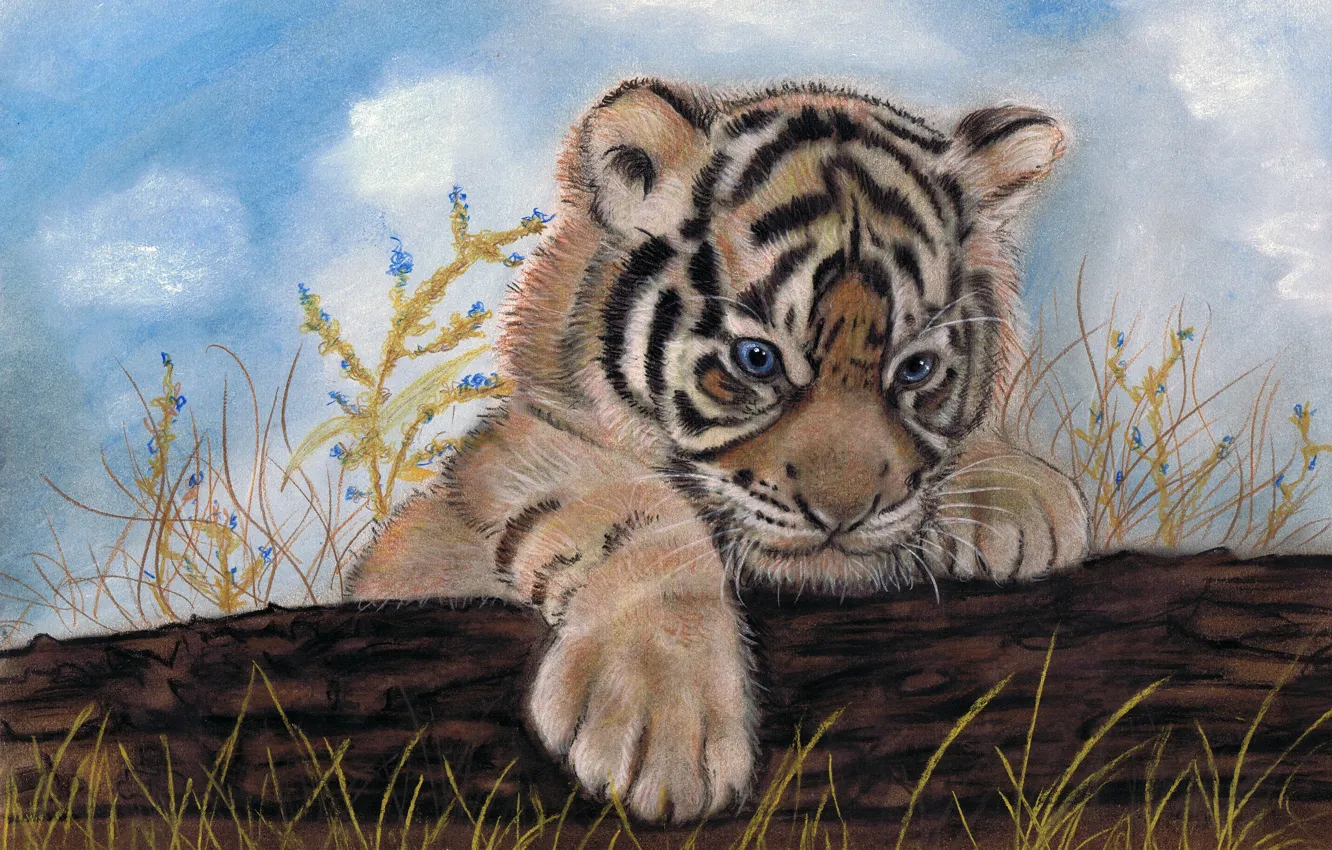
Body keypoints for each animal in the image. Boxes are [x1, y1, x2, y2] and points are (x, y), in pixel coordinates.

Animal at [348, 79, 1089, 823]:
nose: (843, 514)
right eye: (756, 359)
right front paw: (660, 723)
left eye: (916, 370)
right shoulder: (508, 456)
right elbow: (626, 509)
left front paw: (1020, 495)